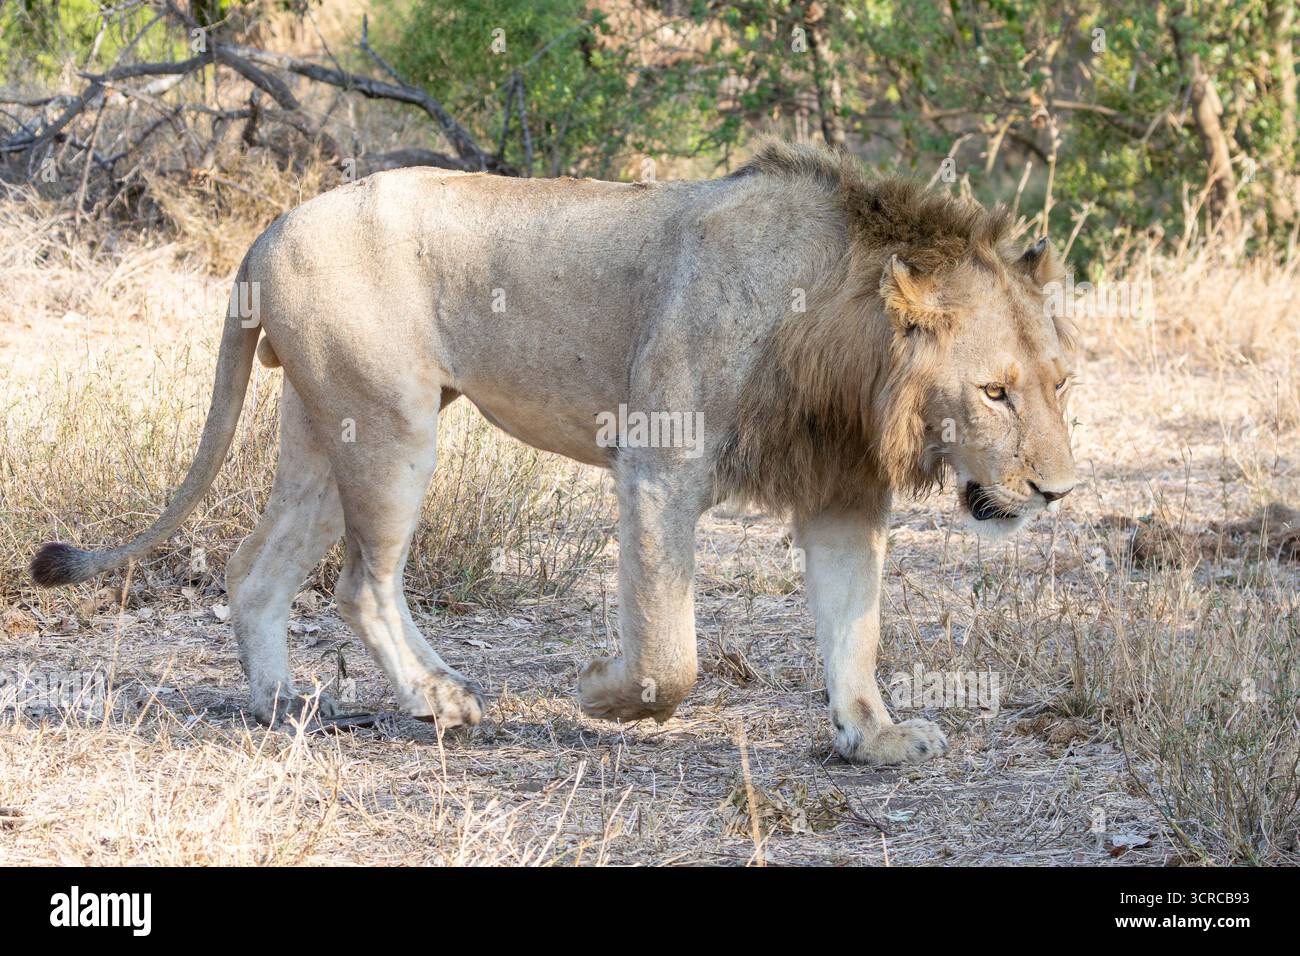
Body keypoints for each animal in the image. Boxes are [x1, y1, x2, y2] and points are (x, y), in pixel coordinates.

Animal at [30, 142, 1077, 765]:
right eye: (994, 391)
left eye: (1061, 383)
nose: (1058, 492)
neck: (841, 341)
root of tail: (268, 230)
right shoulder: (659, 464)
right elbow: (671, 651)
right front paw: (602, 694)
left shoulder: (843, 493)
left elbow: (854, 629)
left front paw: (876, 736)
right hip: (393, 422)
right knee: (363, 584)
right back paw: (439, 699)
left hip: (325, 432)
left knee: (258, 569)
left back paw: (282, 704)